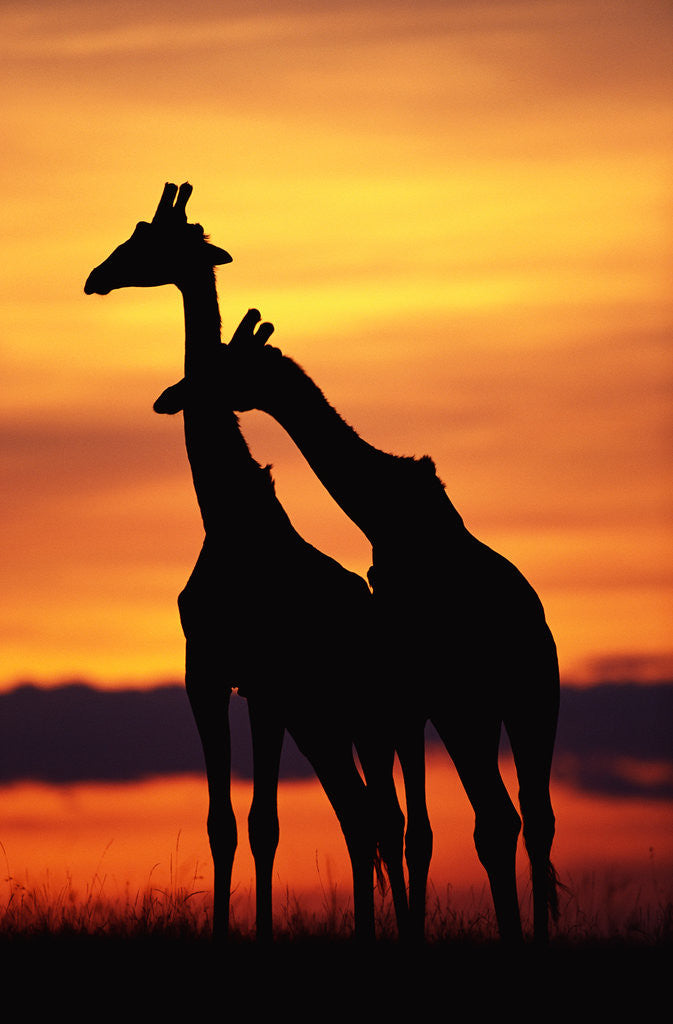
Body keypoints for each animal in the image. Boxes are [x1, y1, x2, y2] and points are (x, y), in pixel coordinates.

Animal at [84, 183, 409, 942]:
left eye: (151, 239)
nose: (96, 276)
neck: (226, 517)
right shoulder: (206, 673)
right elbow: (223, 824)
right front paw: (228, 933)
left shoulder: (263, 682)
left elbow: (264, 823)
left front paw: (255, 933)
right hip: (322, 717)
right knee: (359, 817)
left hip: (364, 712)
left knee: (386, 820)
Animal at [163, 313, 561, 944]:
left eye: (227, 365)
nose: (173, 396)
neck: (380, 510)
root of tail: (527, 634)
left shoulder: (417, 696)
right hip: (531, 702)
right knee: (533, 817)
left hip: (468, 706)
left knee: (493, 818)